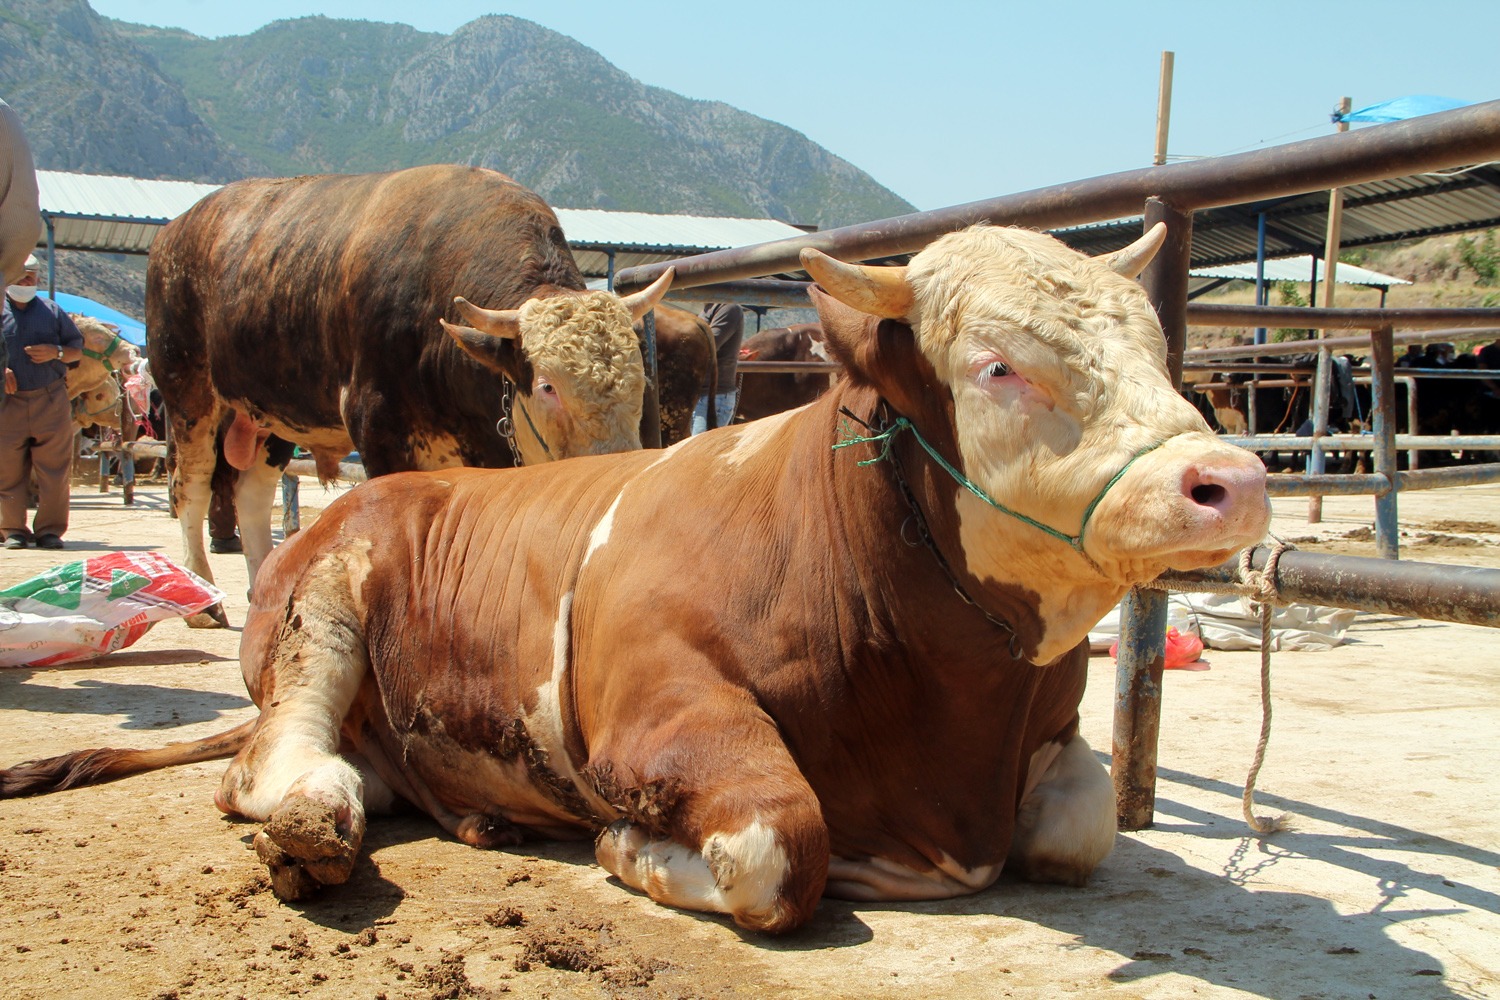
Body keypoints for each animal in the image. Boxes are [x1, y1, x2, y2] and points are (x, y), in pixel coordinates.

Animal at [5, 223, 1272, 935]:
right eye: (1000, 365)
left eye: (1159, 347)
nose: (1233, 480)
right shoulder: (657, 701)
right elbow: (779, 843)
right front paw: (630, 851)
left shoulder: (1046, 734)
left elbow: (1083, 824)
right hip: (321, 605)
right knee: (277, 765)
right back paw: (319, 826)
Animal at [146, 164, 675, 620]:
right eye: (548, 386)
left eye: (640, 383)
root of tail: (174, 232)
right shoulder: (376, 427)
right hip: (187, 391)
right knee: (192, 486)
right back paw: (203, 601)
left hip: (270, 415)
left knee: (251, 495)